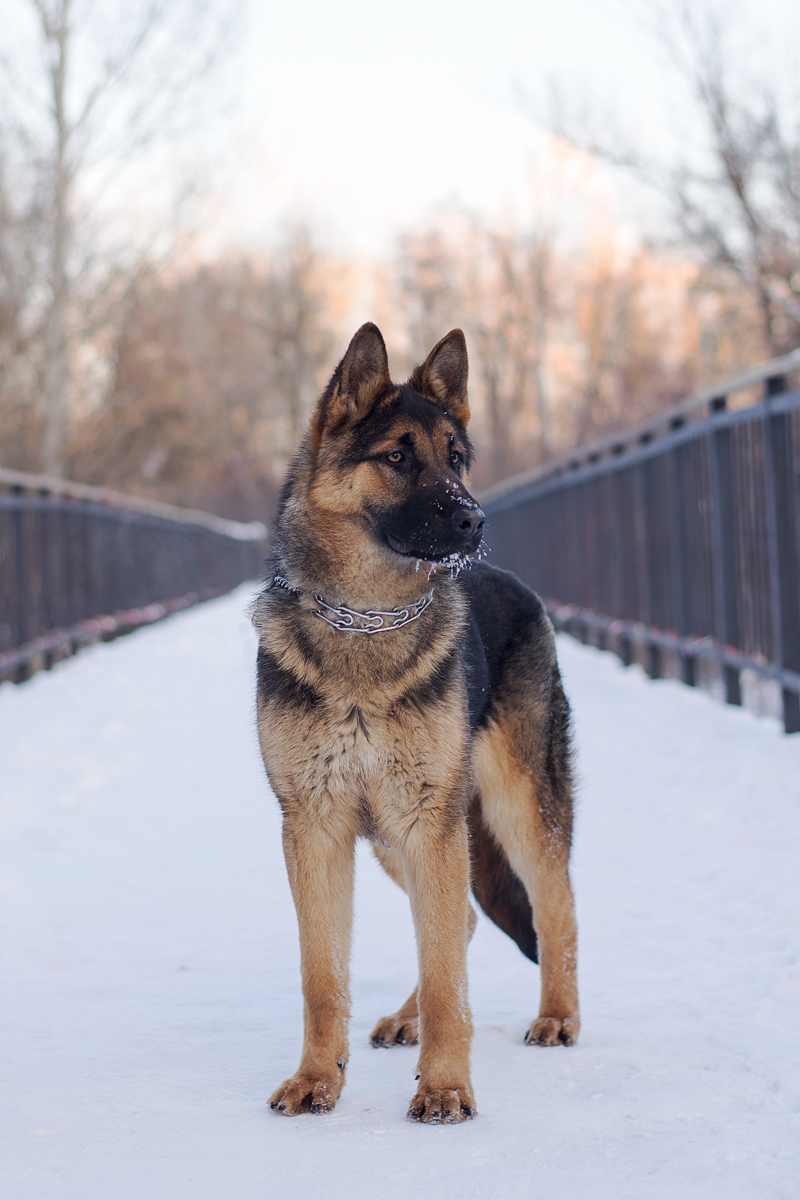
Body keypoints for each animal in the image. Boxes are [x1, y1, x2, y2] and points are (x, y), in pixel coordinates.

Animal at [253, 321, 578, 1123]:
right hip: (399, 840)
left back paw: (558, 1016)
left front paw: (446, 1088)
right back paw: (406, 1019)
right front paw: (317, 1078)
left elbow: (445, 979)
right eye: (397, 457)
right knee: (462, 921)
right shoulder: (317, 829)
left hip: (510, 810)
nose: (474, 519)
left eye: (456, 458)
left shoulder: (429, 823)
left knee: (554, 910)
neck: (366, 621)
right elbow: (322, 977)